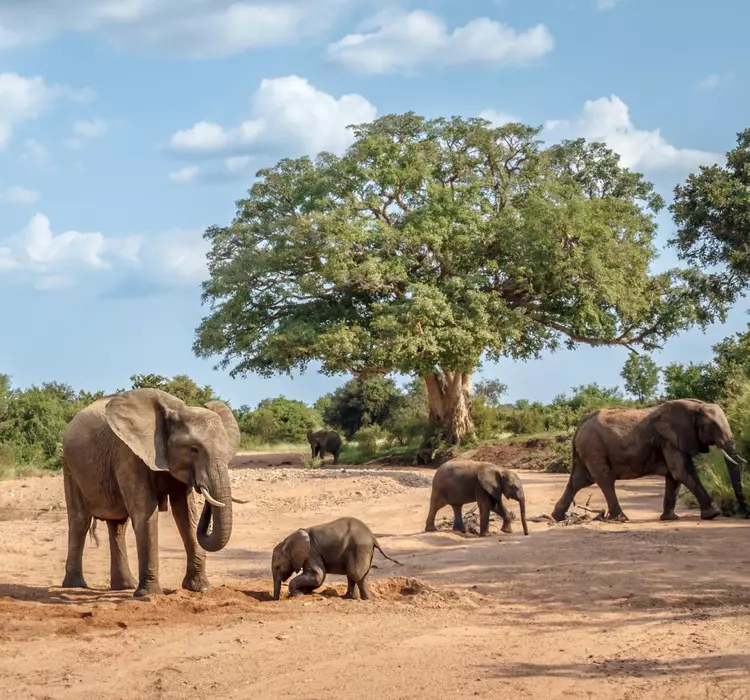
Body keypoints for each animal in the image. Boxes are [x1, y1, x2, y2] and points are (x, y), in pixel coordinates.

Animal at [61, 387, 247, 598]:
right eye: (194, 449)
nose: (203, 489)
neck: (175, 410)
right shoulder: (128, 454)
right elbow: (146, 513)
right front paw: (149, 595)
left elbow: (185, 514)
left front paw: (201, 588)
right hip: (69, 466)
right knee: (80, 520)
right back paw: (76, 585)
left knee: (118, 525)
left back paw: (125, 585)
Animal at [271, 516, 402, 601]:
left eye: (278, 567)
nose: (275, 600)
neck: (288, 540)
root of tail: (373, 537)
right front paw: (306, 592)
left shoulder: (311, 553)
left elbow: (318, 576)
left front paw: (298, 594)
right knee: (355, 574)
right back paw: (349, 598)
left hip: (358, 548)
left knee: (355, 574)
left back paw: (366, 600)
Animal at [551, 398, 748, 523]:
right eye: (711, 426)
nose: (744, 513)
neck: (695, 405)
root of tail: (579, 426)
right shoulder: (669, 440)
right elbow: (682, 472)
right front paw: (713, 514)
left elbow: (674, 477)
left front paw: (670, 519)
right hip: (594, 448)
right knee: (604, 480)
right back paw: (620, 519)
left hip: (587, 449)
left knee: (579, 481)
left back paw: (557, 517)